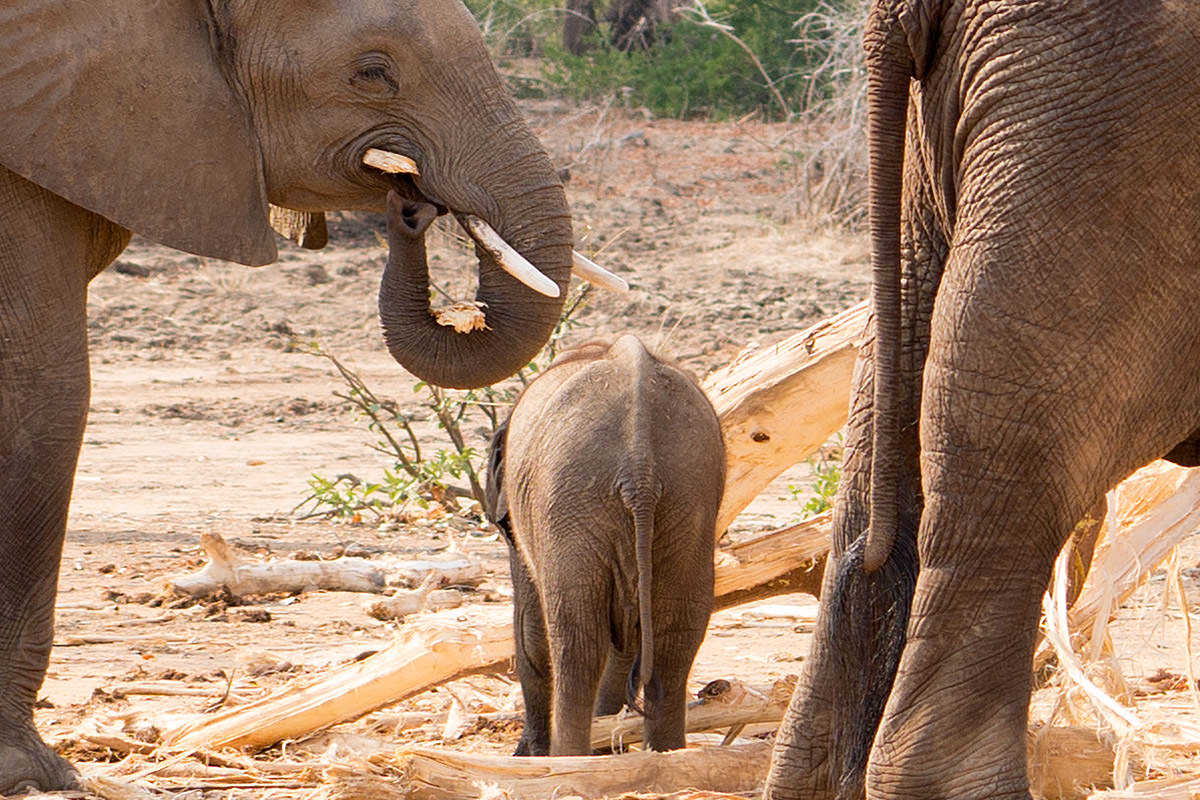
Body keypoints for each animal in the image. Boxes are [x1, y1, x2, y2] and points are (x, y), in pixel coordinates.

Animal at [484, 333, 724, 758]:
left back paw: (565, 759)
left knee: (577, 641)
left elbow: (530, 633)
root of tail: (640, 469)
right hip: (687, 497)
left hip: (570, 500)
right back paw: (664, 755)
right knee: (677, 636)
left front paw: (527, 756)